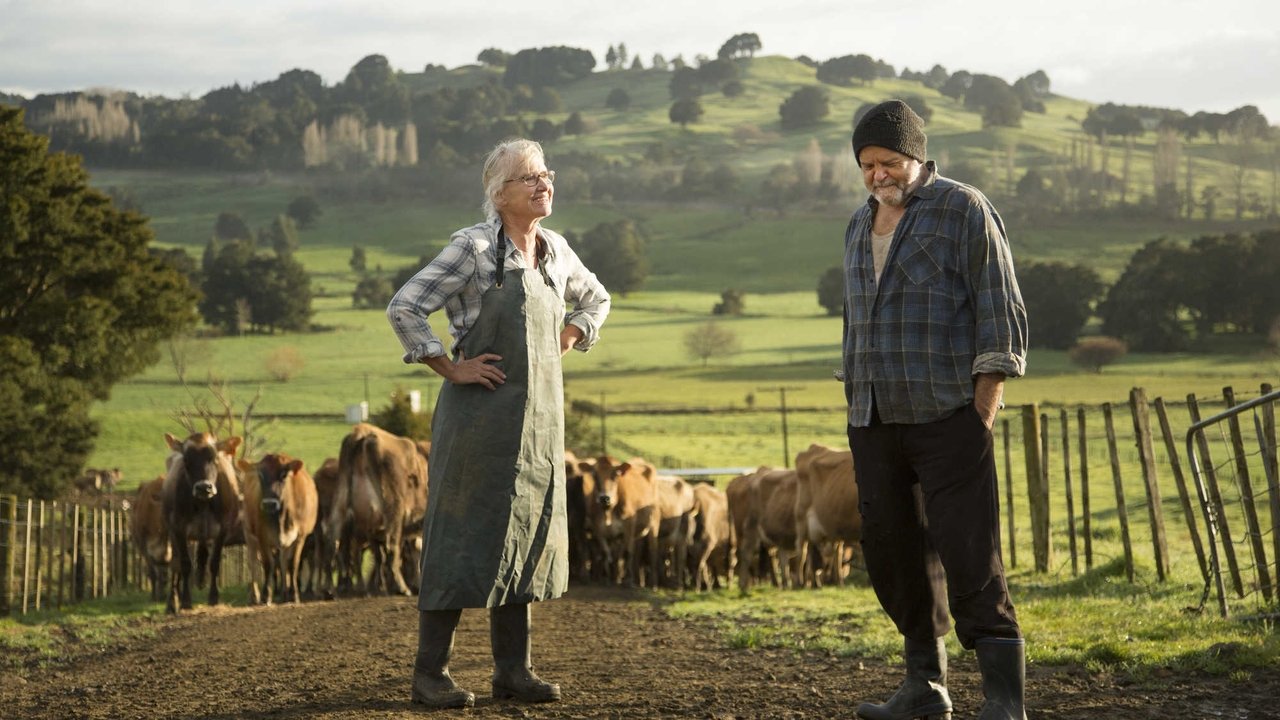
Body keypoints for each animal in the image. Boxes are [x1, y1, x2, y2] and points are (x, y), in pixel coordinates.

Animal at [161, 430, 240, 609]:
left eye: (214, 457)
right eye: (186, 460)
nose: (204, 487)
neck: (203, 504)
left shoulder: (222, 529)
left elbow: (214, 562)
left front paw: (213, 597)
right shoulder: (178, 528)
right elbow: (184, 564)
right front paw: (185, 600)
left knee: (203, 554)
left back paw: (201, 580)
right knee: (175, 564)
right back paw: (172, 601)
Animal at [240, 453, 320, 599]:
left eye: (283, 475)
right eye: (260, 475)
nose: (269, 504)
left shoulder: (300, 537)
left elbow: (292, 564)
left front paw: (293, 593)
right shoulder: (262, 537)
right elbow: (268, 564)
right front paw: (266, 594)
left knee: (283, 563)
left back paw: (284, 592)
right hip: (249, 534)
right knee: (252, 561)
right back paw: (255, 595)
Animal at [327, 422, 427, 591]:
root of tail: (362, 433)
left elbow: (381, 555)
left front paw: (380, 585)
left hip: (343, 508)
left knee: (336, 543)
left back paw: (336, 588)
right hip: (392, 510)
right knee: (391, 547)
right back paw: (401, 588)